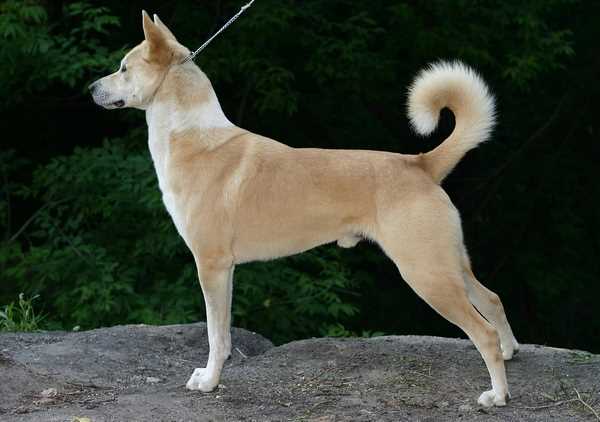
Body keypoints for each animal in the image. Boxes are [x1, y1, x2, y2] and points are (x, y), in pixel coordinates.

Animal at [90, 11, 520, 408]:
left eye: (124, 68)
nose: (91, 88)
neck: (193, 134)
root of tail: (420, 163)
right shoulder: (224, 270)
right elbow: (222, 332)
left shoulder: (211, 265)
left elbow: (216, 335)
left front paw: (209, 382)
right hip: (450, 264)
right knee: (493, 299)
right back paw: (510, 350)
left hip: (426, 274)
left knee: (482, 331)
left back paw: (497, 395)